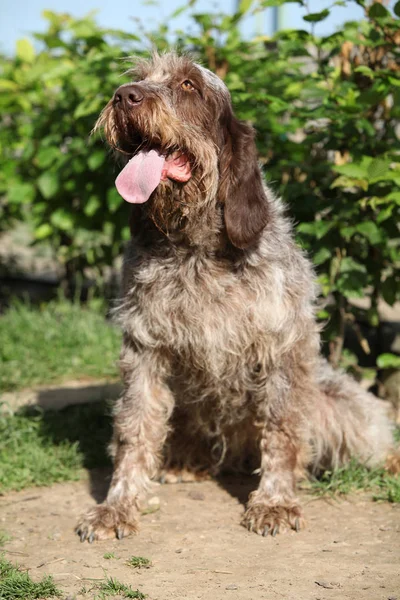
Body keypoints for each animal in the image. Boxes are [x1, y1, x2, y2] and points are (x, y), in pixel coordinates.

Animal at [76, 52, 396, 544]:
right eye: (138, 79)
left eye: (189, 84)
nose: (124, 96)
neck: (197, 249)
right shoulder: (145, 349)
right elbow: (134, 429)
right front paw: (118, 506)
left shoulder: (281, 347)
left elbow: (281, 430)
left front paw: (275, 501)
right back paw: (188, 461)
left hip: (338, 404)